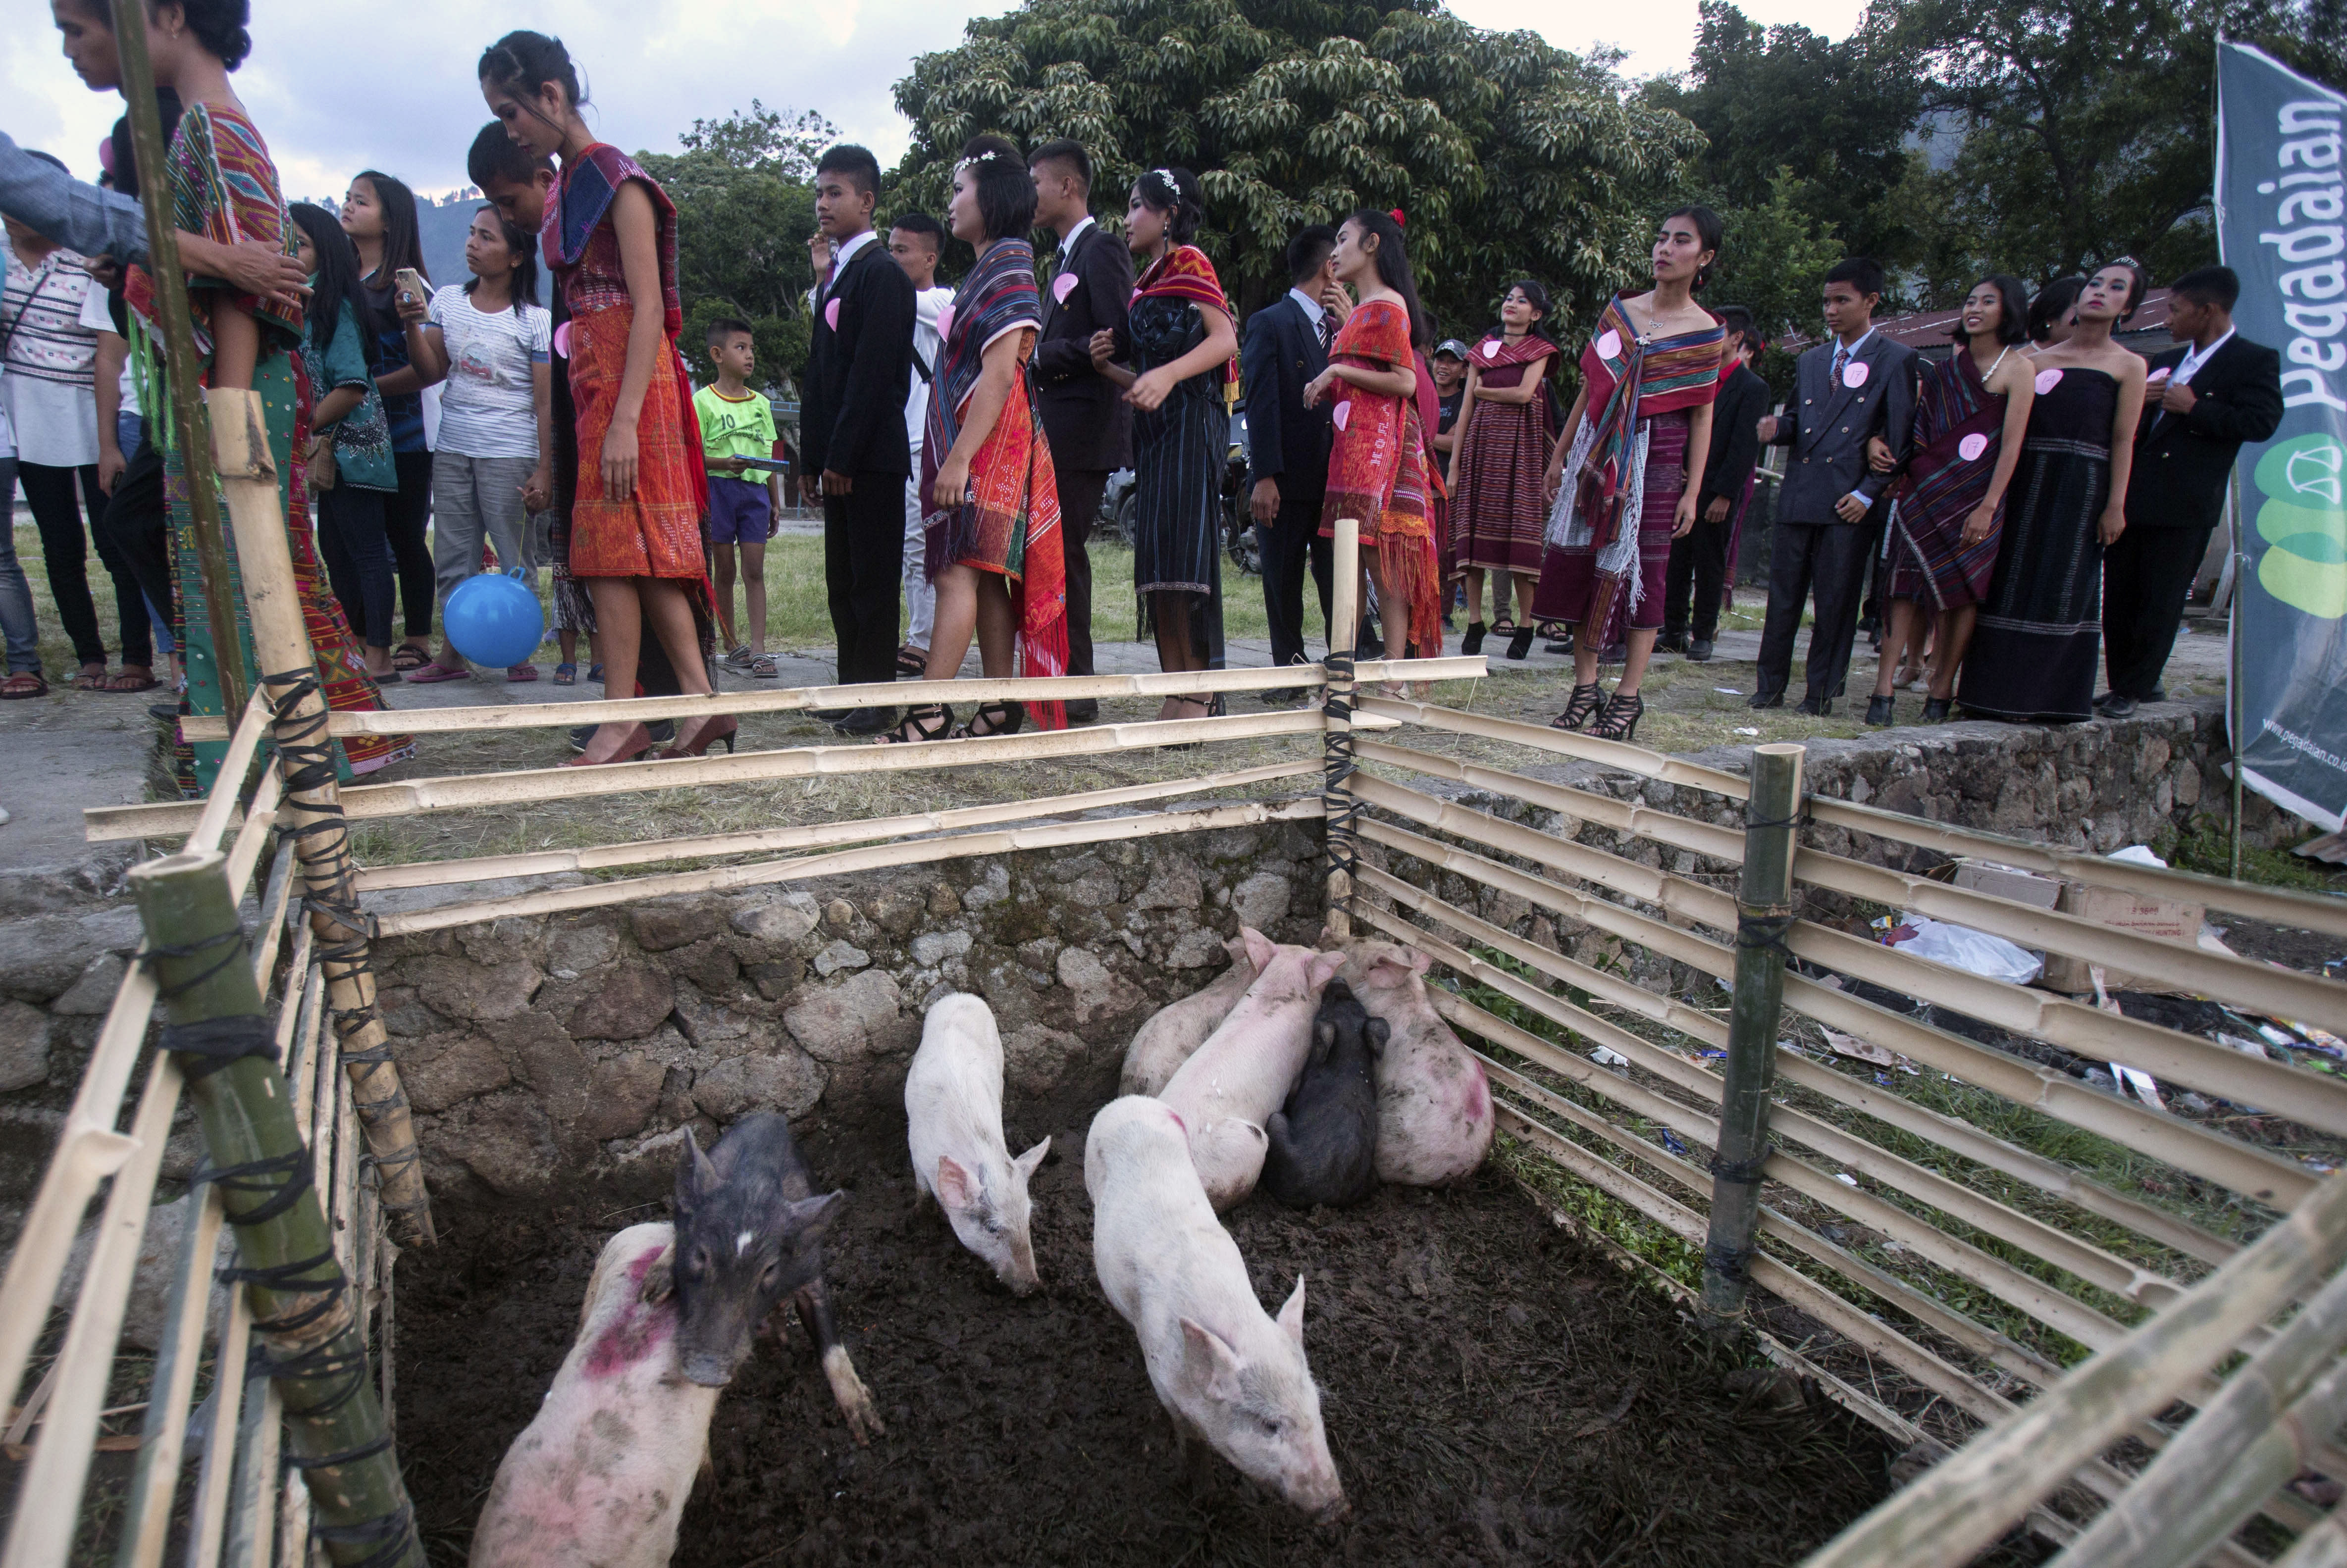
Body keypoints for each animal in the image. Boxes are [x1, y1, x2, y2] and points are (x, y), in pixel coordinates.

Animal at [662, 1113, 882, 1446]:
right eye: (701, 1255)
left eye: (769, 1269)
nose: (706, 1372)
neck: (755, 1186)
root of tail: (769, 1115)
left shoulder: (811, 1269)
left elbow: (830, 1337)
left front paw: (871, 1430)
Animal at [1267, 981, 1389, 1211]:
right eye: (1356, 1003)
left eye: (1325, 1008)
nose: (1339, 979)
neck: (1349, 1059)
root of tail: (1322, 1197)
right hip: (1371, 1177)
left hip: (1276, 1121)